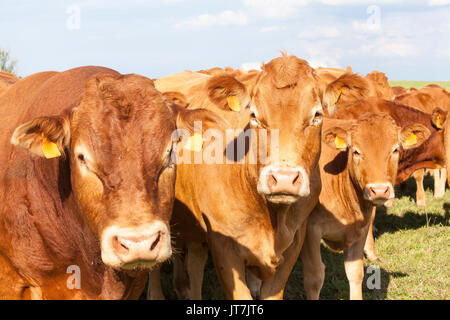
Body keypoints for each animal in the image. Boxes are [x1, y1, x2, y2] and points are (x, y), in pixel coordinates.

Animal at [302, 112, 428, 300]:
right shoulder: (310, 230)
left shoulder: (360, 229)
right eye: (356, 151)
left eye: (395, 150)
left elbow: (355, 273)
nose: (380, 190)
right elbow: (314, 277)